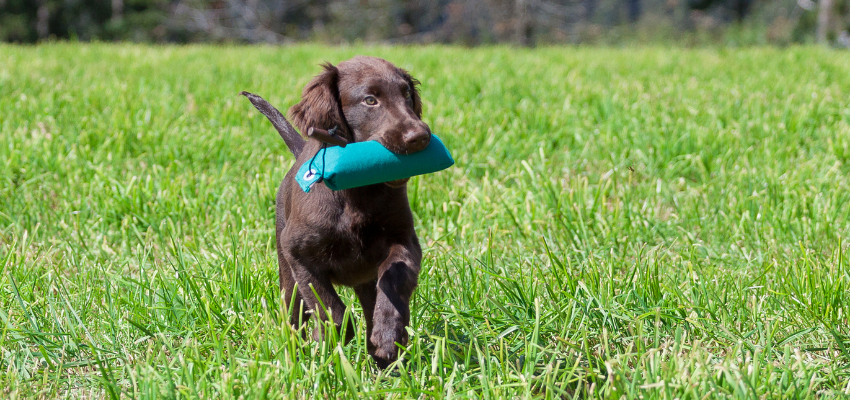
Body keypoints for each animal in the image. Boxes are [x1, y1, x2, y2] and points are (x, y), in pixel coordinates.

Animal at [245, 56, 430, 368]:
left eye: (406, 94)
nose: (420, 137)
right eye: (370, 100)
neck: (358, 192)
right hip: (287, 275)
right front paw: (335, 338)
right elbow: (329, 307)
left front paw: (387, 336)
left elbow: (393, 279)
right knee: (294, 315)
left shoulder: (404, 241)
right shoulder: (298, 255)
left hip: (364, 280)